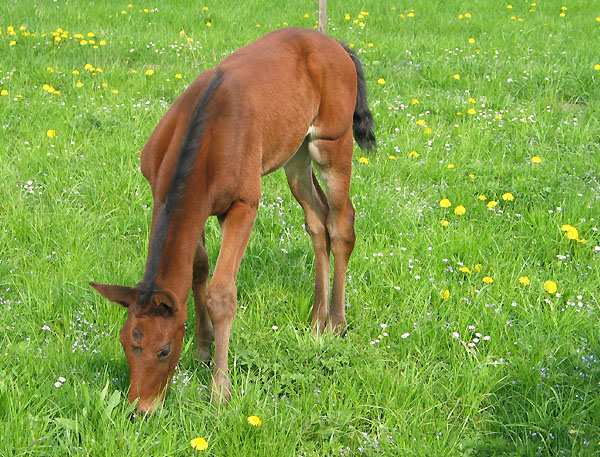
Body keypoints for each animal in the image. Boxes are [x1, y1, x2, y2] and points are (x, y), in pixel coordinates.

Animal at [89, 28, 376, 414]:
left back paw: (336, 323)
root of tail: (335, 45)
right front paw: (202, 348)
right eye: (125, 342)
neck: (203, 137)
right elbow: (197, 270)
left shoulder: (243, 204)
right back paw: (316, 322)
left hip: (331, 141)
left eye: (164, 350)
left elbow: (222, 293)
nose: (141, 409)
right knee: (318, 220)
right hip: (295, 153)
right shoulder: (183, 204)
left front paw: (220, 392)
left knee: (342, 224)